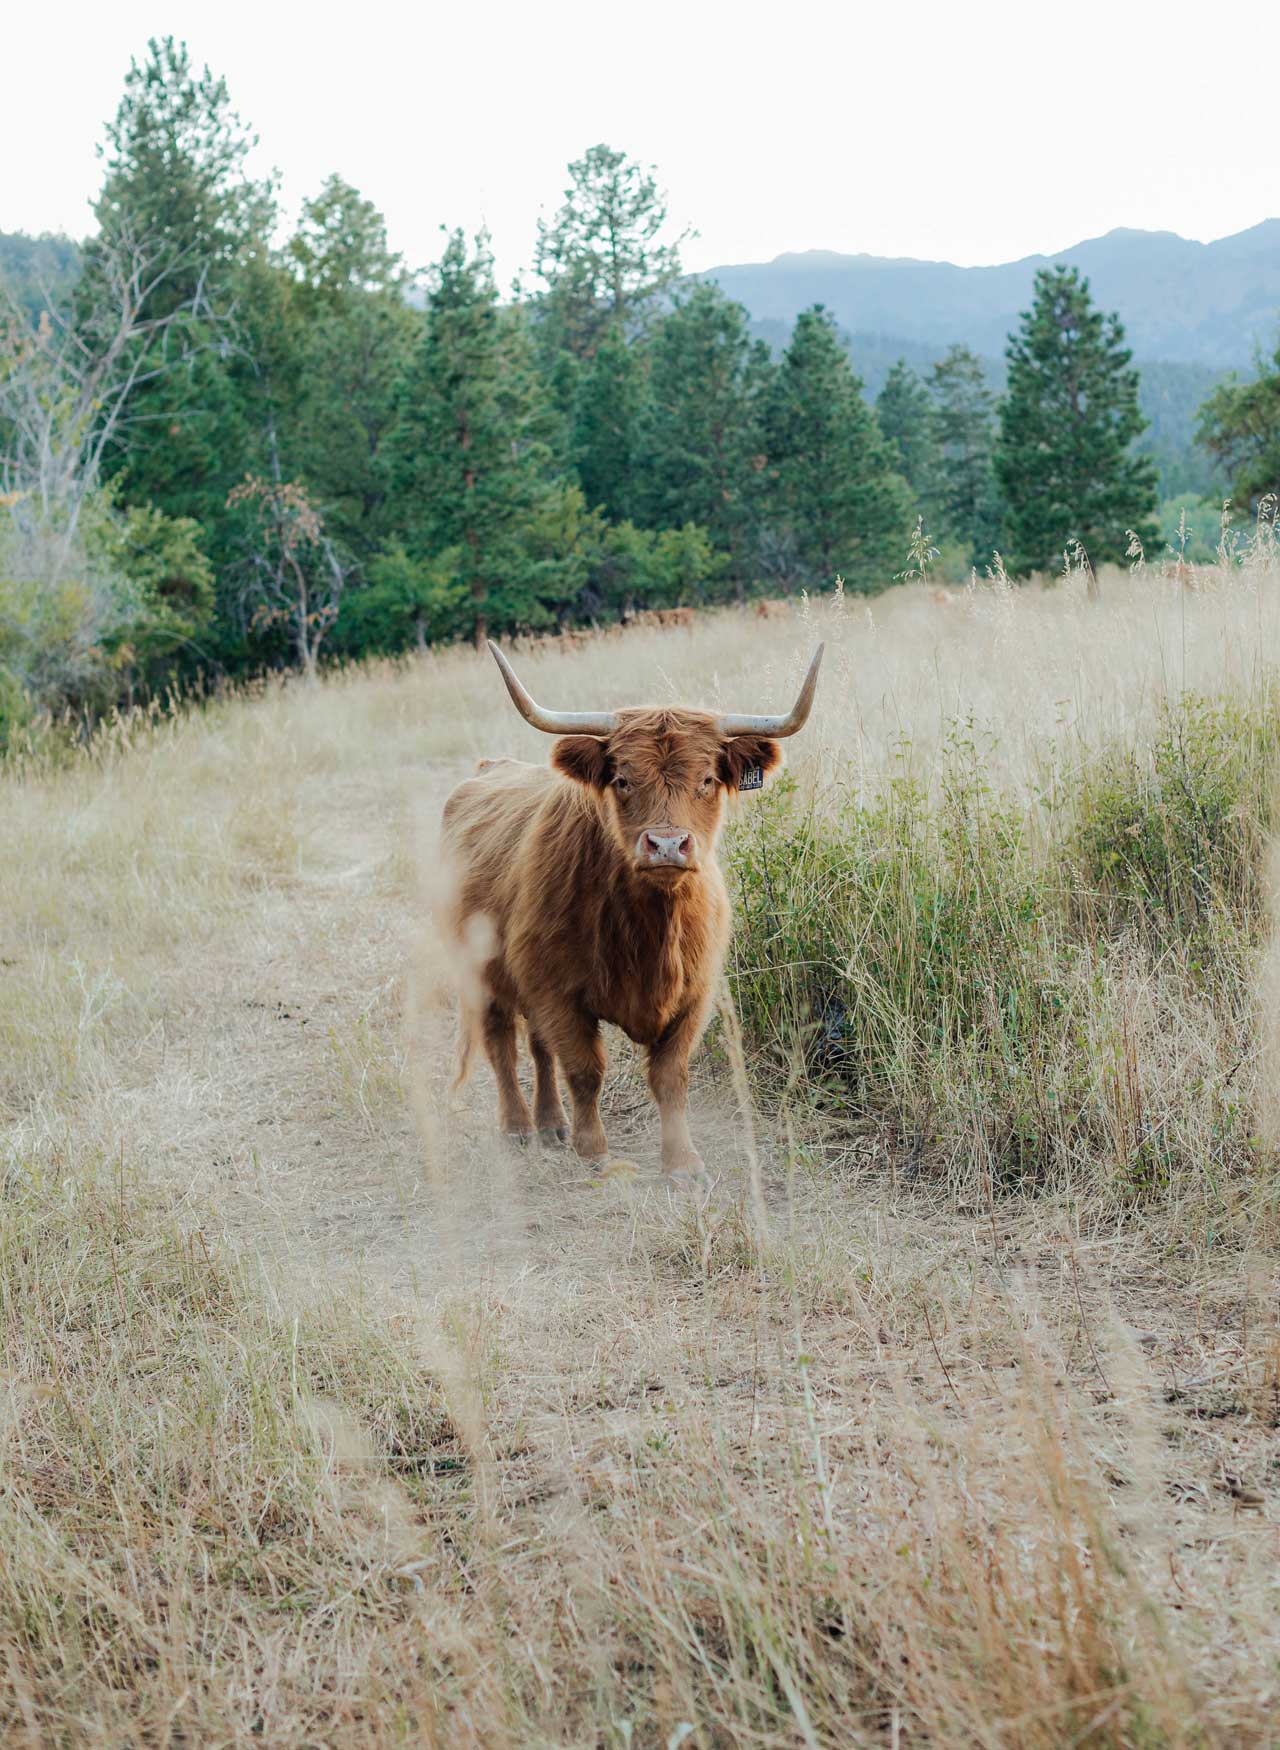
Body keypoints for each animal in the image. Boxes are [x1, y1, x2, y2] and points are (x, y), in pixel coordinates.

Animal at [441, 640, 819, 1176]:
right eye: (622, 779)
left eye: (707, 779)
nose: (667, 845)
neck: (650, 927)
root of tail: (490, 768)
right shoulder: (560, 993)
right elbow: (585, 1070)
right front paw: (595, 1153)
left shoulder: (694, 994)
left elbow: (670, 1077)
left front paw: (682, 1161)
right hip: (482, 972)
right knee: (502, 1045)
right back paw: (517, 1128)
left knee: (537, 1048)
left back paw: (551, 1125)